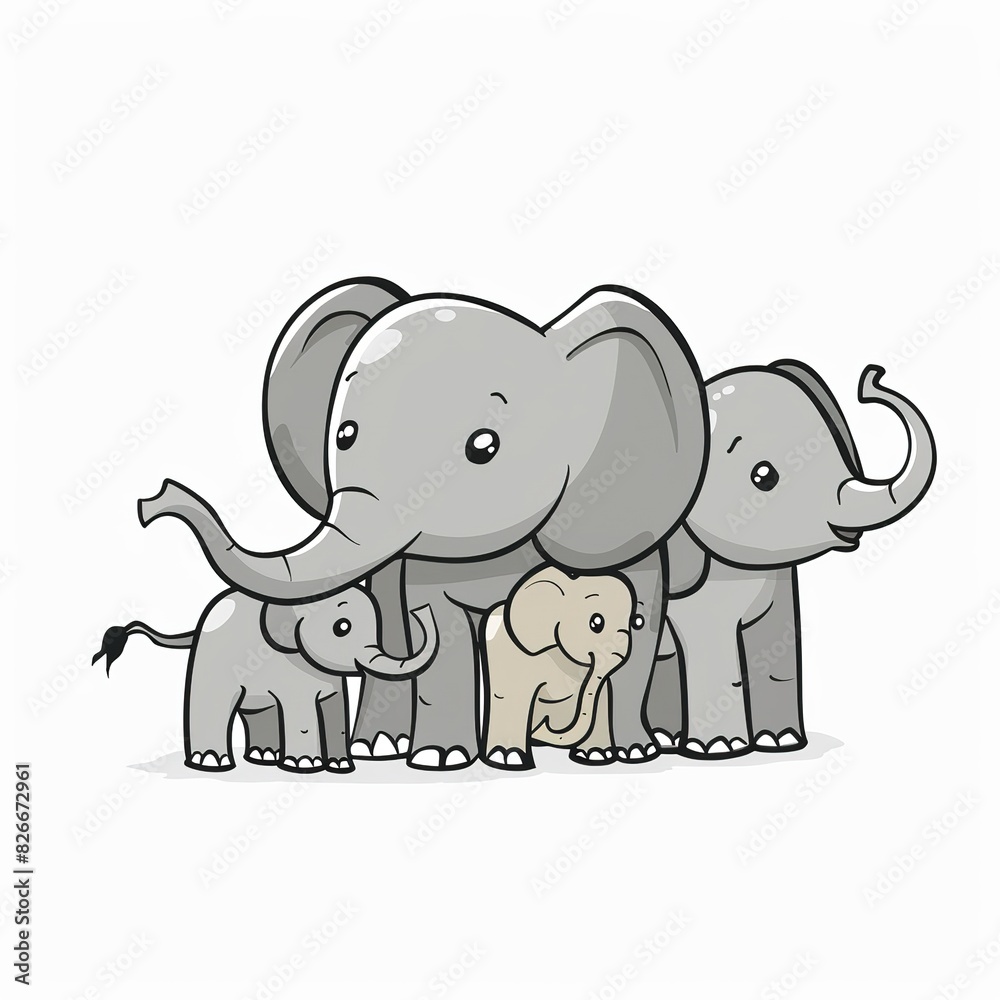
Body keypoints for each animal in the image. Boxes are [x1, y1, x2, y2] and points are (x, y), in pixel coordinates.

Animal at [94, 587, 438, 773]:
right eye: (342, 627)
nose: (421, 610)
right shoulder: (295, 672)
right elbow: (301, 713)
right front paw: (304, 765)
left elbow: (334, 709)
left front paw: (341, 767)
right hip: (209, 662)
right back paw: (212, 762)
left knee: (257, 710)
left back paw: (263, 757)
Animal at [480, 565, 639, 770]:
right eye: (596, 622)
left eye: (635, 622)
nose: (545, 725)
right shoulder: (514, 652)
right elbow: (514, 695)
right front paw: (508, 757)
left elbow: (602, 693)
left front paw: (596, 755)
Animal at [653, 362, 936, 759]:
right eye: (764, 476)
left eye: (840, 447)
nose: (872, 379)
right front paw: (721, 749)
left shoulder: (778, 578)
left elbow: (774, 643)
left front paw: (780, 742)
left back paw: (664, 739)